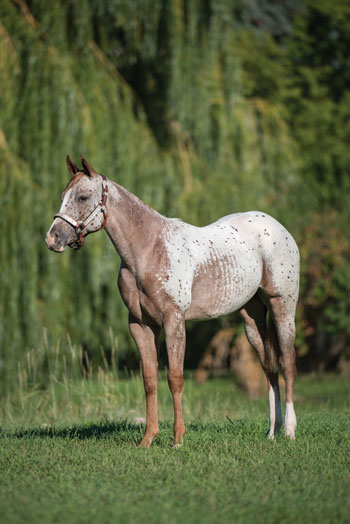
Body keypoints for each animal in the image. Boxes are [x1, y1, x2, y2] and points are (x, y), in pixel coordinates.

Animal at [45, 156, 300, 446]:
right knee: (269, 368)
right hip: (252, 317)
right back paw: (272, 432)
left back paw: (289, 431)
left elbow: (175, 378)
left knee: (288, 364)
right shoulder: (140, 325)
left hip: (282, 308)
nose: (52, 238)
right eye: (63, 196)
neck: (148, 251)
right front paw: (147, 439)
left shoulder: (173, 321)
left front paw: (178, 439)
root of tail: (278, 227)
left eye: (83, 196)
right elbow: (149, 379)